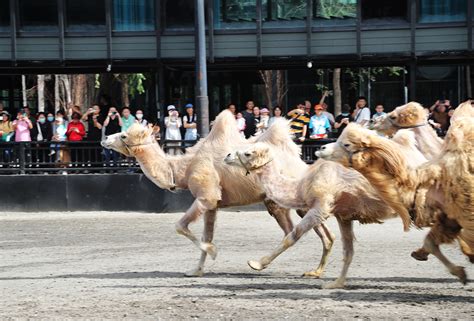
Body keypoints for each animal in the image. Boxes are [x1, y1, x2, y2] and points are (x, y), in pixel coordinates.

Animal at [101, 112, 336, 278]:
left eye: (123, 135)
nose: (105, 139)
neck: (183, 169)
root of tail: (301, 161)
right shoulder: (213, 205)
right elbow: (207, 235)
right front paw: (195, 270)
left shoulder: (206, 195)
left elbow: (180, 226)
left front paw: (213, 252)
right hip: (293, 200)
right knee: (322, 233)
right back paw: (315, 272)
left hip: (283, 198)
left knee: (294, 231)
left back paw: (258, 263)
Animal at [224, 135, 416, 288]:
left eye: (248, 153)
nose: (227, 155)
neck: (301, 185)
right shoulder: (342, 214)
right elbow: (345, 247)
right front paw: (323, 277)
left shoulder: (321, 207)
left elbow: (293, 235)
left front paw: (257, 263)